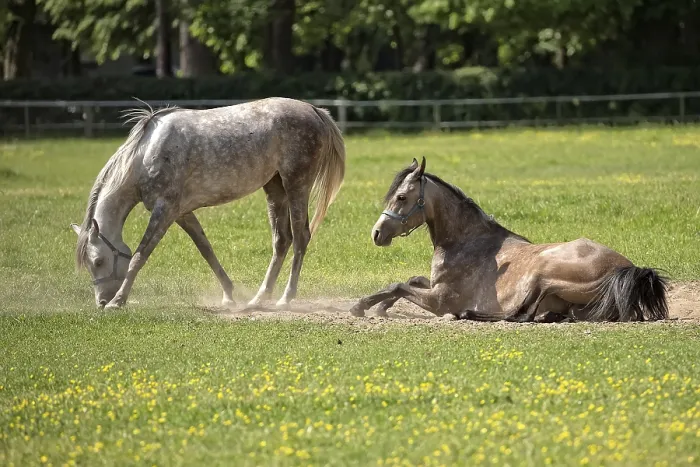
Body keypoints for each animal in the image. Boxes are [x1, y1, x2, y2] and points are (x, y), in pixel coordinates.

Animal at [70, 97, 345, 310]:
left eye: (98, 261)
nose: (101, 302)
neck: (146, 155)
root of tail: (314, 110)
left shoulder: (164, 210)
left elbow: (140, 255)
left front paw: (119, 300)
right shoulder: (182, 213)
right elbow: (206, 249)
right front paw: (229, 295)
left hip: (296, 185)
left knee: (300, 237)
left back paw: (286, 298)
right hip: (275, 188)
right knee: (282, 240)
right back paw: (258, 299)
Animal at [349, 157, 668, 322]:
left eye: (402, 197)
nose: (376, 233)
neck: (466, 242)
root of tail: (626, 269)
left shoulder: (440, 300)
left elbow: (400, 284)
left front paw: (363, 306)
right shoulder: (433, 285)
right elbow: (409, 280)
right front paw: (378, 306)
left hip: (543, 273)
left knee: (520, 315)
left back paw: (468, 313)